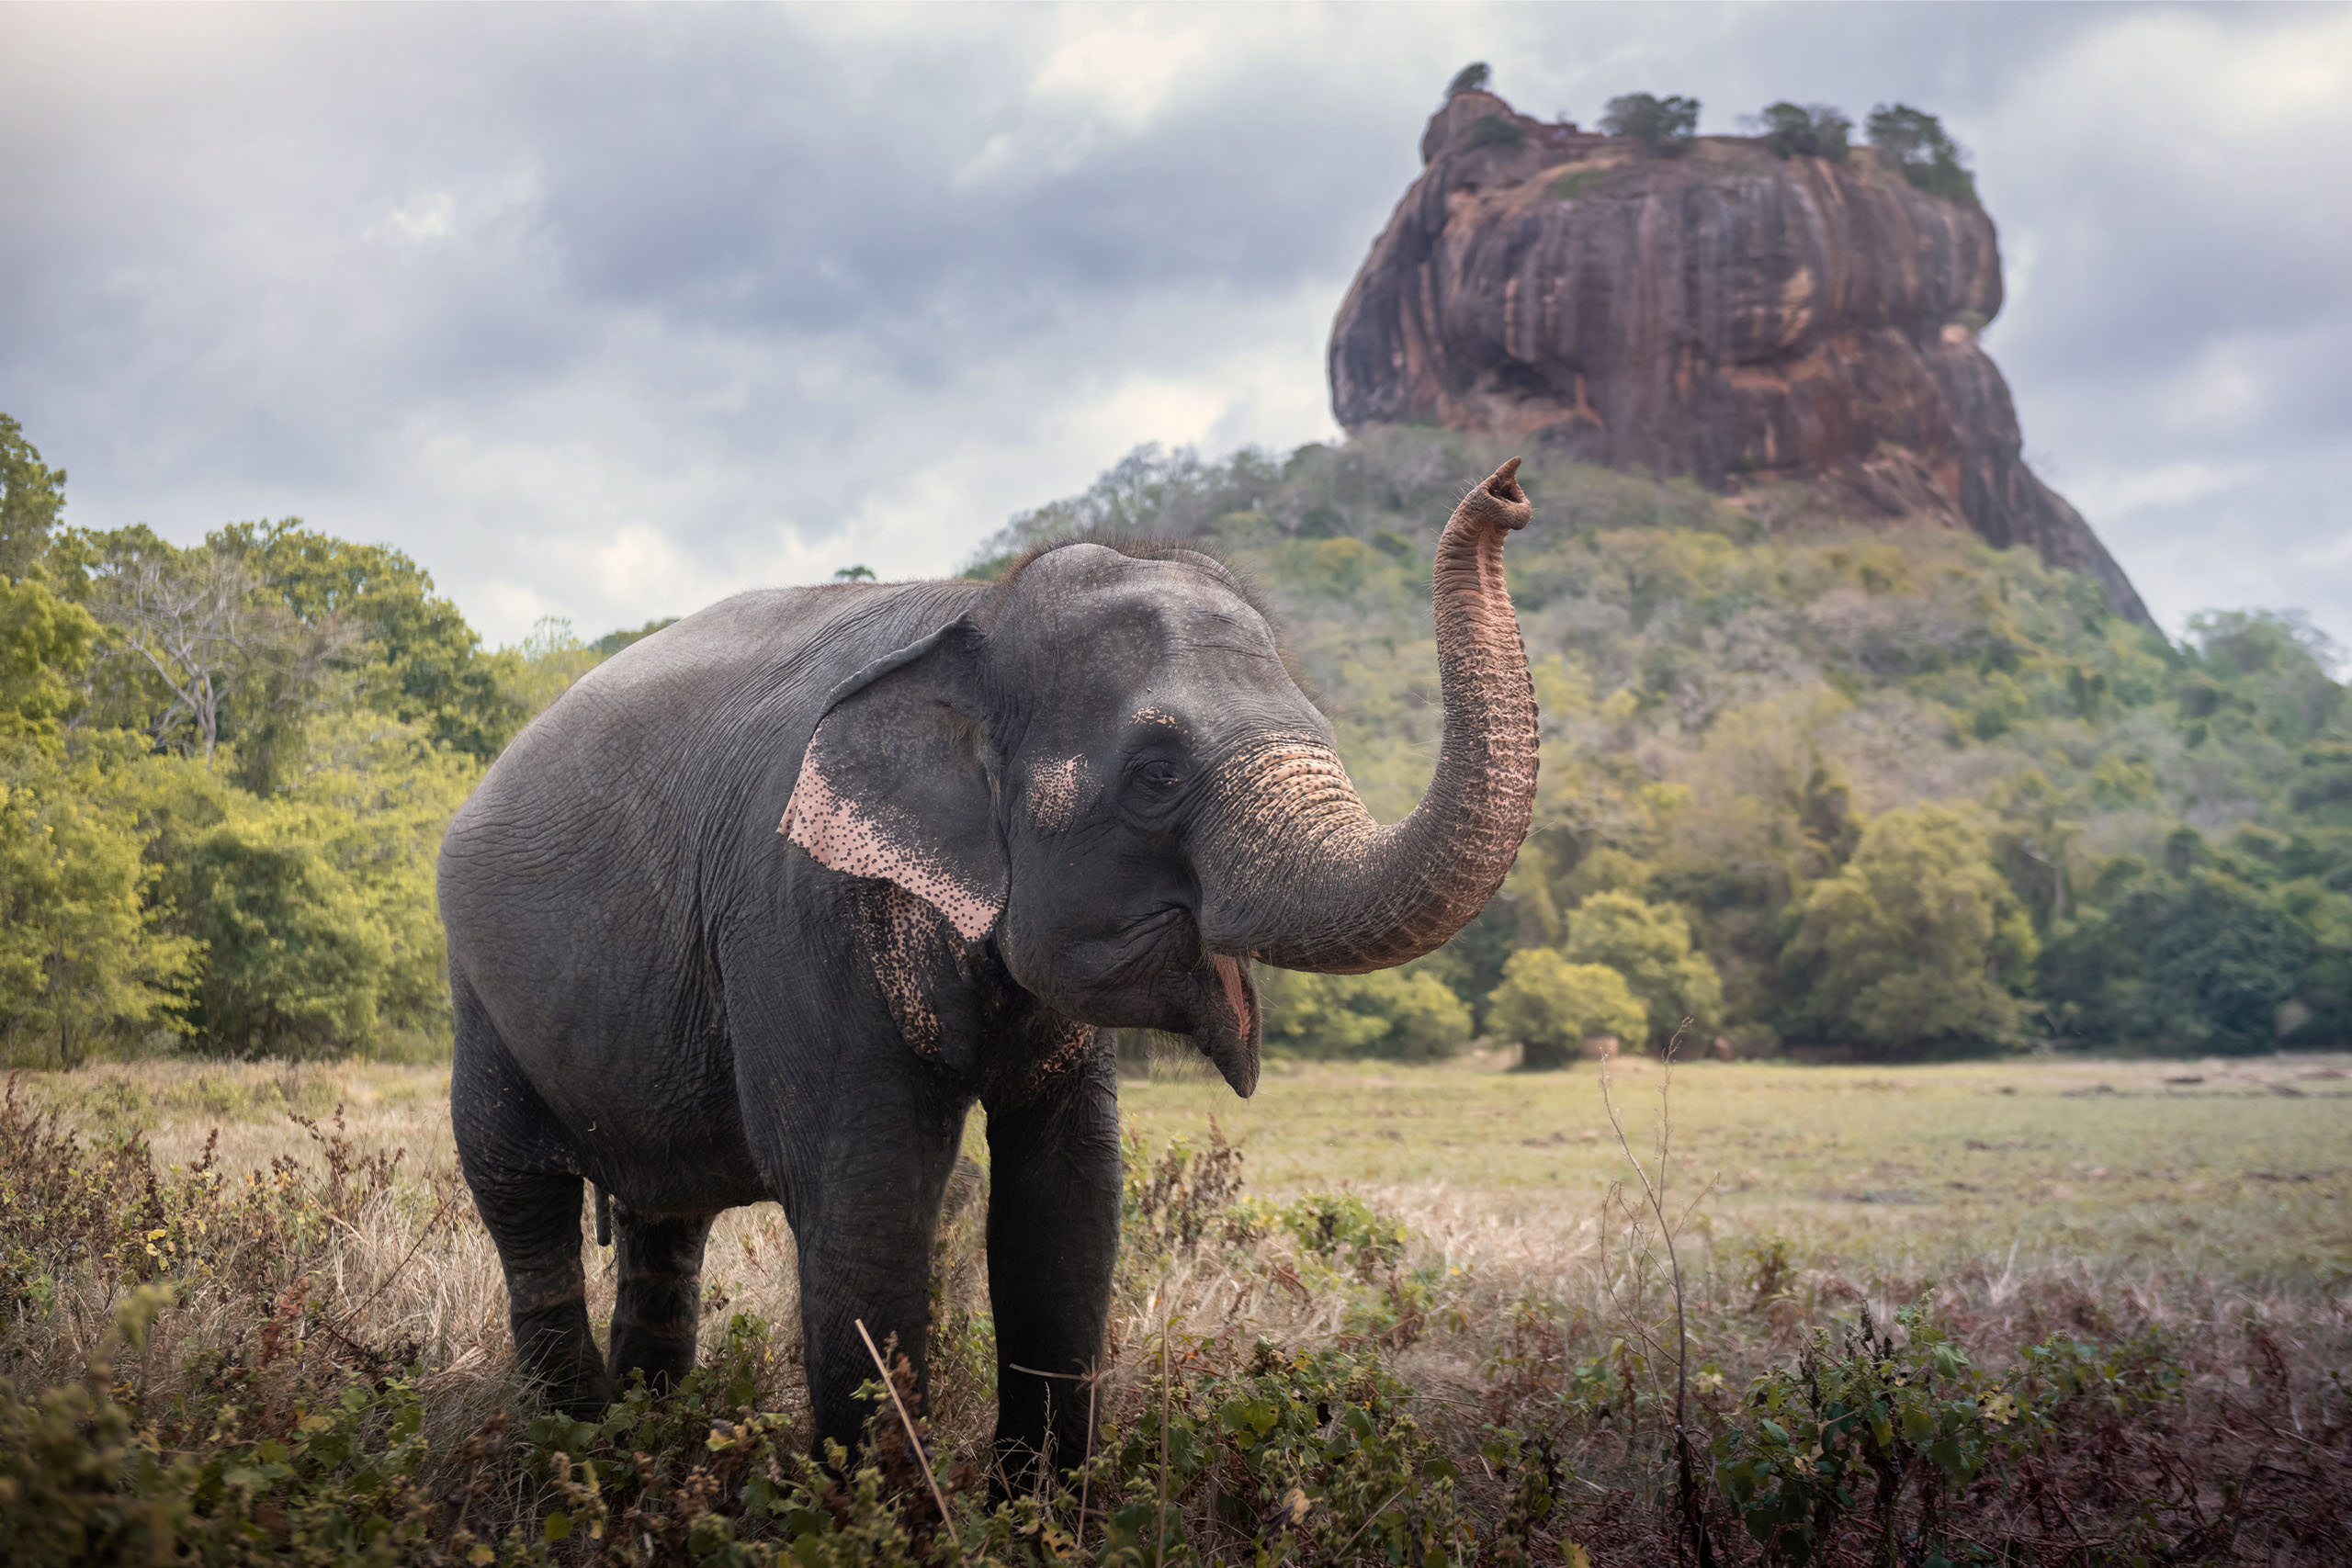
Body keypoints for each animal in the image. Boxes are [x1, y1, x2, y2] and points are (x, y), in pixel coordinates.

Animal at [439, 460, 1543, 1476]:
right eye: (1155, 775)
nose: (1509, 489)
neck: (972, 612)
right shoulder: (796, 911)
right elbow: (864, 1198)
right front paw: (879, 1512)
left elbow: (1068, 1199)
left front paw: (1039, 1512)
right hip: (476, 992)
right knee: (522, 1200)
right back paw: (570, 1451)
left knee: (664, 1224)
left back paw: (643, 1454)